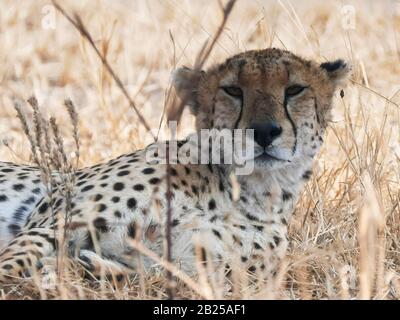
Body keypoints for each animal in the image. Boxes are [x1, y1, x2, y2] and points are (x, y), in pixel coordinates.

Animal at [0, 49, 350, 284]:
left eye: (295, 90)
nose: (264, 131)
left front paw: (84, 268)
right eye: (232, 90)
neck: (240, 192)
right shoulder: (50, 220)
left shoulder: (191, 269)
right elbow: (12, 264)